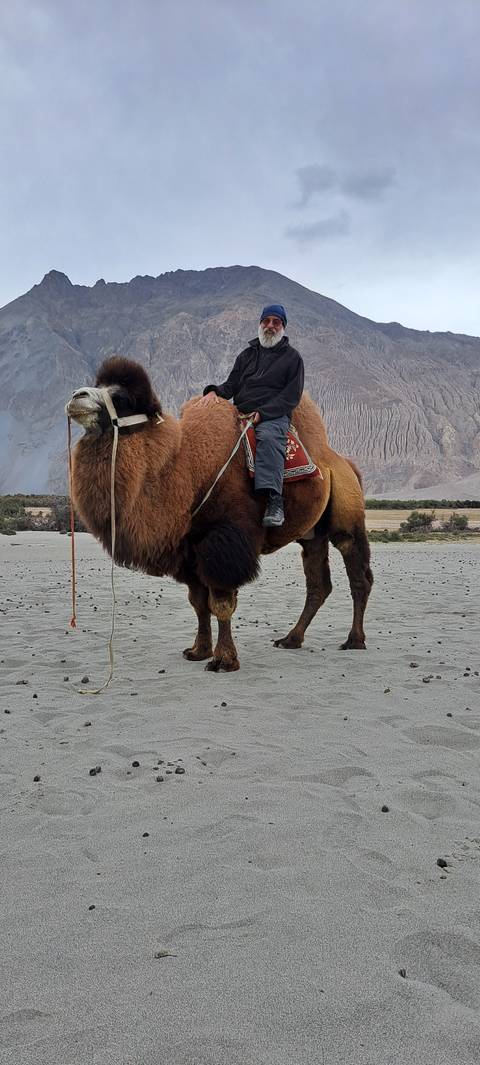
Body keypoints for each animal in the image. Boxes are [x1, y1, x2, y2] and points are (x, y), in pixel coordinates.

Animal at [66, 356, 373, 671]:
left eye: (122, 398)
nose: (76, 396)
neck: (187, 471)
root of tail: (345, 463)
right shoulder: (189, 549)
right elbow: (199, 603)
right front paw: (198, 650)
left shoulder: (224, 541)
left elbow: (222, 601)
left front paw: (224, 659)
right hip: (312, 534)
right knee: (318, 584)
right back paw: (291, 639)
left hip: (347, 516)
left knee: (357, 572)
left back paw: (354, 640)